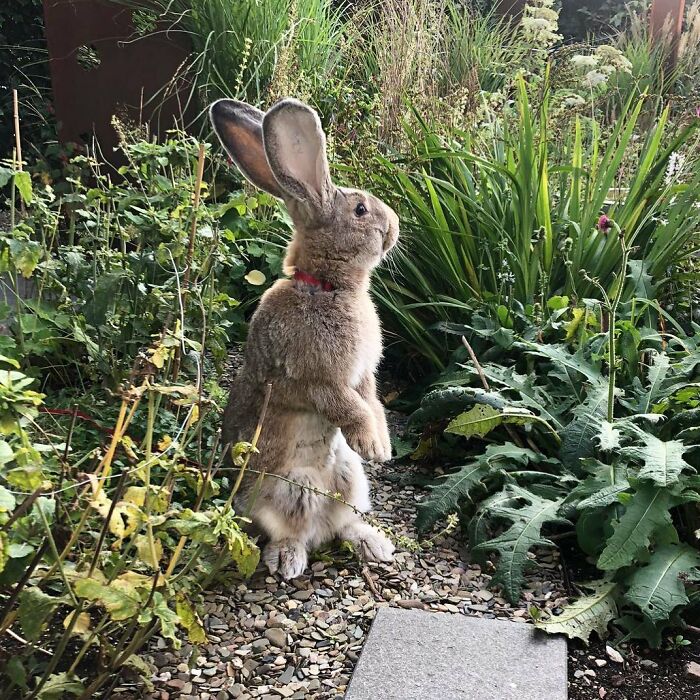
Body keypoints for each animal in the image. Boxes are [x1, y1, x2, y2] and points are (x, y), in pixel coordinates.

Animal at [210, 97, 399, 579]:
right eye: (360, 211)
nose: (394, 226)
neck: (327, 285)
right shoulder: (316, 380)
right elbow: (349, 407)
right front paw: (372, 444)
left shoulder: (364, 376)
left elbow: (372, 403)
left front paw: (383, 447)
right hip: (285, 490)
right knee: (293, 532)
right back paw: (288, 561)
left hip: (351, 481)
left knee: (343, 524)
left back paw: (376, 546)